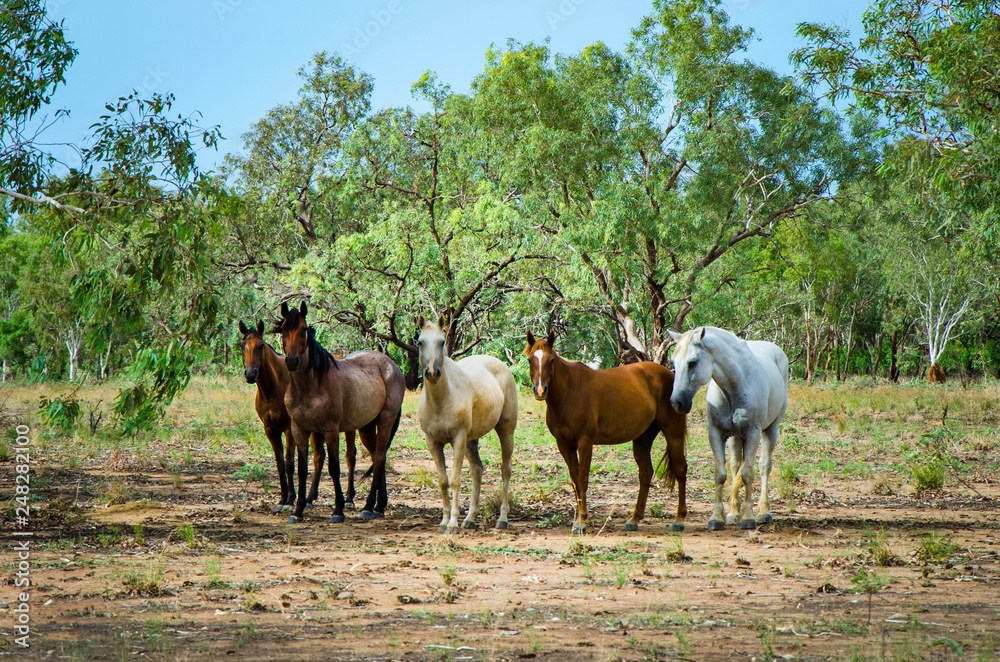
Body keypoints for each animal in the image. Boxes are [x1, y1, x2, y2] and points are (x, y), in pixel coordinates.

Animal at [236, 322, 362, 512]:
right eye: (242, 346)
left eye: (261, 345)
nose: (251, 374)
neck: (273, 387)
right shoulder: (270, 430)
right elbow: (280, 463)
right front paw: (283, 498)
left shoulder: (289, 429)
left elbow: (289, 463)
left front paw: (290, 498)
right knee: (319, 457)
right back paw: (310, 497)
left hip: (349, 428)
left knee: (350, 456)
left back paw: (348, 498)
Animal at [276, 304, 404, 528]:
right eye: (283, 329)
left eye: (303, 329)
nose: (292, 361)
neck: (310, 386)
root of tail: (392, 365)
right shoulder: (299, 430)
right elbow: (302, 469)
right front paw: (298, 510)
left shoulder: (331, 431)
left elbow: (334, 468)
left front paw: (338, 510)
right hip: (366, 427)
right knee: (378, 457)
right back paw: (380, 505)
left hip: (385, 422)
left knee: (379, 458)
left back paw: (368, 507)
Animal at [418, 316, 520, 536]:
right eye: (420, 342)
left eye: (442, 342)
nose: (432, 373)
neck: (441, 400)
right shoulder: (433, 442)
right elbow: (443, 481)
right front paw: (444, 521)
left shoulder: (458, 439)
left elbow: (455, 480)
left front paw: (452, 524)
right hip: (472, 440)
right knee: (477, 470)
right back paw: (470, 518)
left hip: (505, 431)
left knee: (505, 470)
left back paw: (502, 519)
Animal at [524, 332, 688, 536]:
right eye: (530, 360)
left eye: (551, 360)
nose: (540, 391)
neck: (570, 393)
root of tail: (670, 374)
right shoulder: (563, 444)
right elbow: (574, 480)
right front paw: (578, 520)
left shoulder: (585, 443)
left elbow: (582, 479)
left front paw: (581, 522)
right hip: (643, 437)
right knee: (645, 473)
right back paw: (634, 520)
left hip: (673, 433)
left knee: (680, 469)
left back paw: (679, 519)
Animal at [664, 328, 788, 536]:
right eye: (673, 362)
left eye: (692, 362)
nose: (676, 403)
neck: (735, 385)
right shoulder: (716, 434)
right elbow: (721, 474)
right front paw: (717, 518)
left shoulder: (753, 434)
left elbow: (747, 474)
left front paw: (748, 518)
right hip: (735, 438)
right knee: (735, 466)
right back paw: (733, 514)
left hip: (770, 430)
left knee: (764, 467)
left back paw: (763, 512)